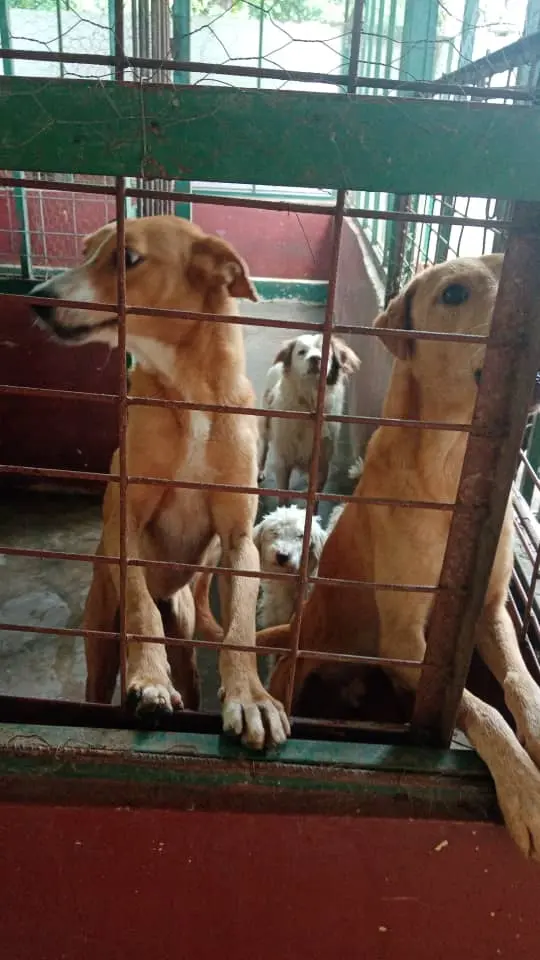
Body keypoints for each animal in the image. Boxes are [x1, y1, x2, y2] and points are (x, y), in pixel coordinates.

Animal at [30, 215, 290, 750]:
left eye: (128, 258)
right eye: (85, 251)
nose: (37, 299)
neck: (189, 394)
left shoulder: (239, 541)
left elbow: (239, 629)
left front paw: (250, 697)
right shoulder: (126, 523)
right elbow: (140, 608)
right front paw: (149, 679)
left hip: (187, 639)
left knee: (189, 676)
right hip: (99, 641)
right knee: (101, 678)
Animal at [258, 333, 361, 497]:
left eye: (326, 351)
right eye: (301, 352)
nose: (316, 358)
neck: (310, 406)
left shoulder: (322, 464)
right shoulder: (283, 463)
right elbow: (284, 495)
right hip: (265, 424)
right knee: (264, 448)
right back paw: (260, 470)